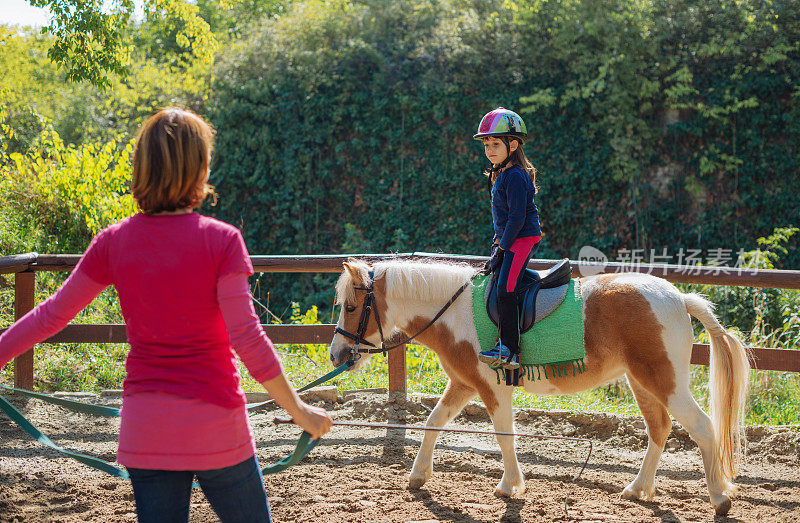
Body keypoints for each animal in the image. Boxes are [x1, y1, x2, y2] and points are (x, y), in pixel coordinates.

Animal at [328, 258, 752, 516]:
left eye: (351, 307)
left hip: (665, 382)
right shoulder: (464, 384)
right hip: (642, 382)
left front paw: (510, 486)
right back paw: (637, 489)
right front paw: (418, 476)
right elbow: (434, 422)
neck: (453, 312)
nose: (337, 355)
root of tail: (679, 297)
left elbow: (504, 434)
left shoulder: (492, 387)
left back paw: (719, 498)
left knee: (702, 428)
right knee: (659, 430)